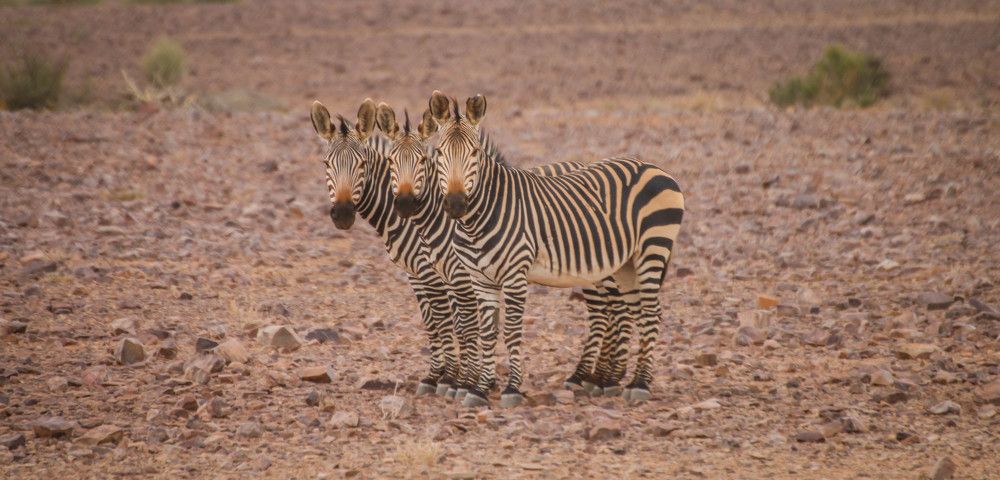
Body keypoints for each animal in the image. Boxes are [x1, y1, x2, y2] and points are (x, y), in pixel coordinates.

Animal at [310, 98, 462, 396]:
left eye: (362, 164)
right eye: (326, 164)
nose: (343, 214)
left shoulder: (432, 272)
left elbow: (443, 321)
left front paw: (448, 377)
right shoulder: (415, 274)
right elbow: (431, 322)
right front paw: (437, 374)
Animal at [425, 91, 685, 407]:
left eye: (474, 153)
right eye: (439, 153)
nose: (455, 204)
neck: (480, 218)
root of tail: (655, 167)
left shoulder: (515, 275)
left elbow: (512, 331)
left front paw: (511, 388)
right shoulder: (480, 279)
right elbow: (487, 332)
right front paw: (480, 388)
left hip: (652, 249)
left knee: (650, 312)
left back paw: (640, 384)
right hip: (626, 264)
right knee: (636, 311)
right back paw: (622, 380)